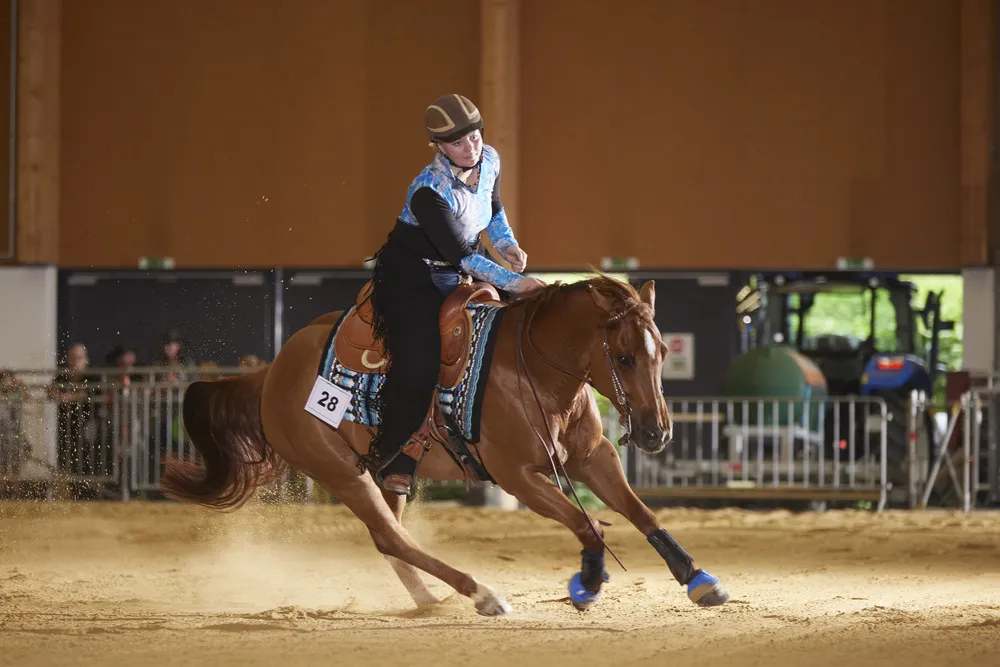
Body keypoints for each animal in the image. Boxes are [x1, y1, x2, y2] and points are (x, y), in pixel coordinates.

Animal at [160, 274, 732, 616]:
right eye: (625, 357)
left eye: (662, 352)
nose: (657, 432)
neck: (536, 368)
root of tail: (272, 373)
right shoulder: (519, 475)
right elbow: (587, 523)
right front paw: (587, 582)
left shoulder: (595, 459)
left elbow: (642, 514)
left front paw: (698, 579)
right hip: (342, 472)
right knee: (391, 537)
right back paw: (480, 593)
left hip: (389, 470)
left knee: (389, 539)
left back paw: (432, 601)